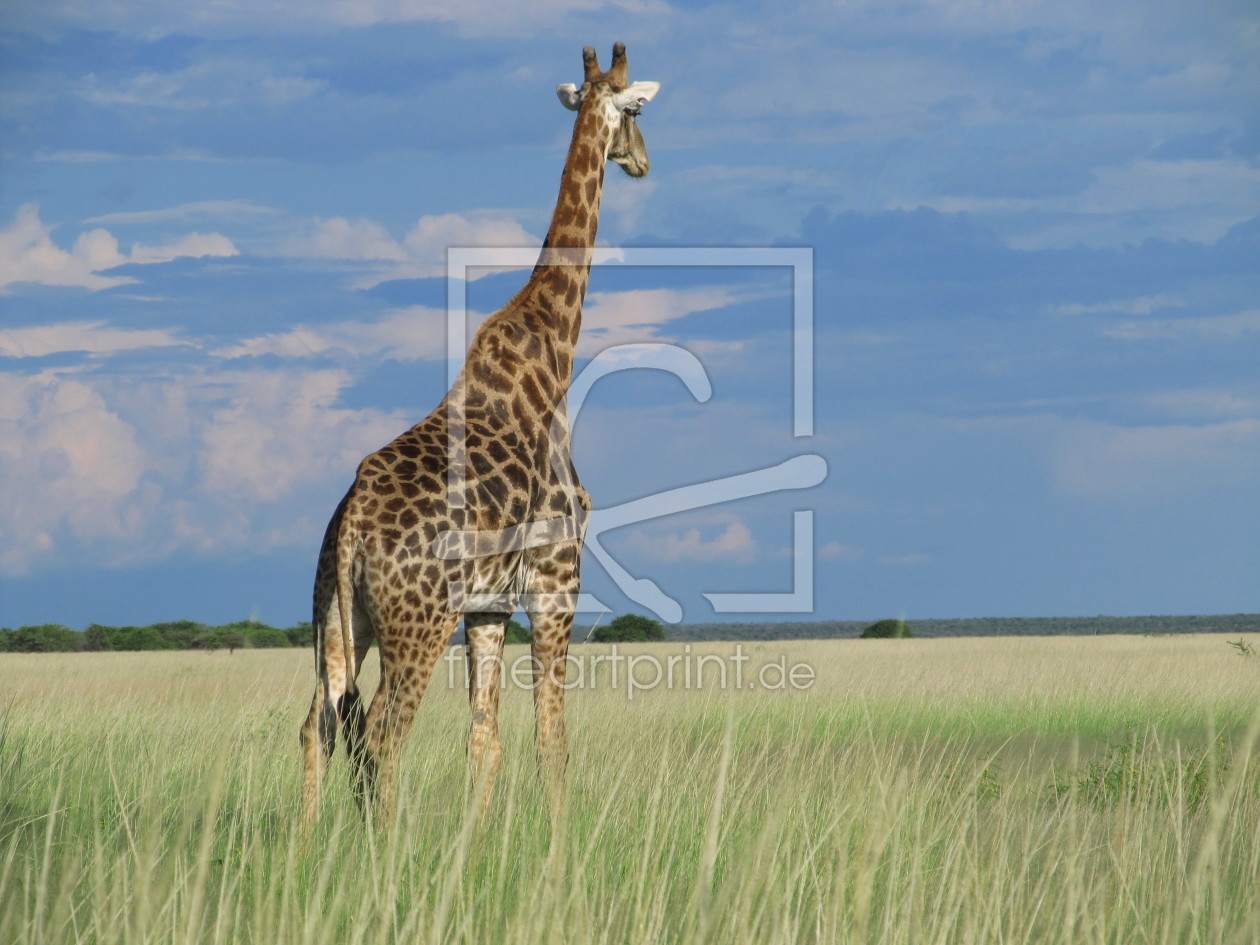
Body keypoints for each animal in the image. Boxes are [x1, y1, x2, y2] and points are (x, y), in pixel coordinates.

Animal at [303, 46, 660, 826]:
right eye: (637, 112)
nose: (642, 161)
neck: (554, 358)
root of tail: (352, 525)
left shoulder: (490, 606)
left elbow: (484, 737)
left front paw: (480, 836)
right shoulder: (557, 582)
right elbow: (551, 737)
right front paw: (559, 840)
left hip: (338, 618)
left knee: (320, 721)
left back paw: (309, 842)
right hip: (417, 621)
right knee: (382, 732)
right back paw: (384, 845)